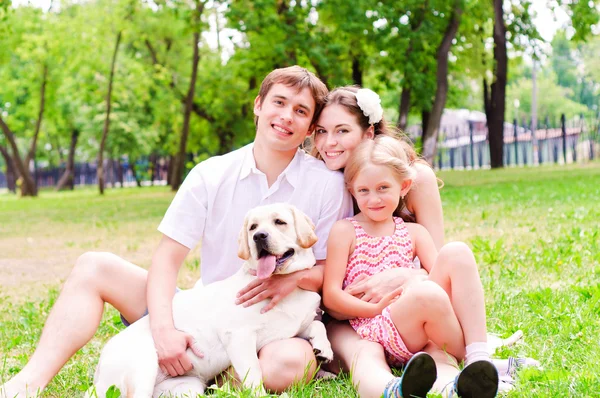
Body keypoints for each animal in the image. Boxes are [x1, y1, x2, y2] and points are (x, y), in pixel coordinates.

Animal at [88, 205, 332, 398]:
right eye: (253, 227)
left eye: (279, 222)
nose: (259, 236)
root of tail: (98, 373)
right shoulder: (238, 336)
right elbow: (254, 373)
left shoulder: (295, 326)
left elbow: (317, 324)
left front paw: (324, 348)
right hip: (143, 366)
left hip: (187, 388)